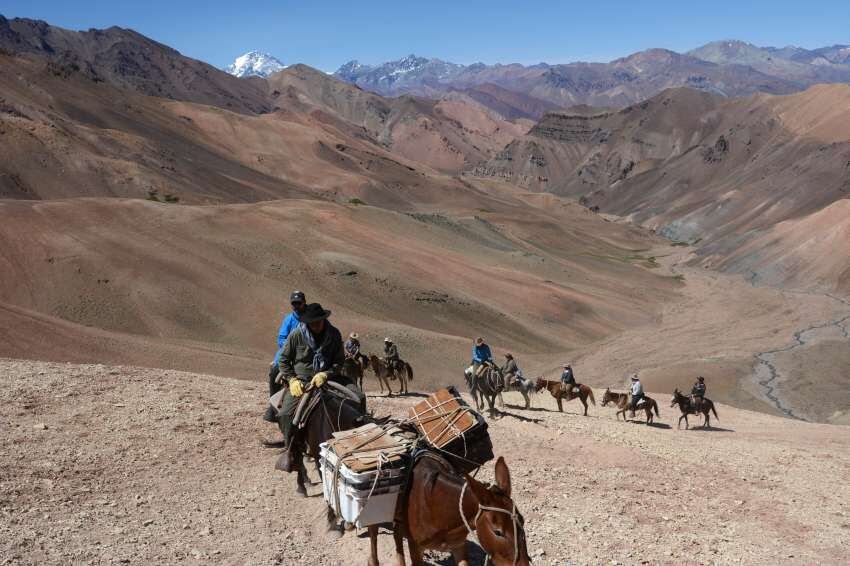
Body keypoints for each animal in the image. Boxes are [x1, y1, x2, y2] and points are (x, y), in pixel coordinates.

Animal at [366, 454, 528, 566]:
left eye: (523, 522)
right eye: (497, 532)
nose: (523, 564)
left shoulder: (458, 546)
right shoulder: (415, 548)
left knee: (396, 534)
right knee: (373, 533)